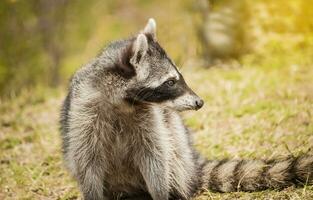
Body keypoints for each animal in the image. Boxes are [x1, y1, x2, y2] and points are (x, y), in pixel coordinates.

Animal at [60, 18, 312, 200]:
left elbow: (156, 157)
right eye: (170, 82)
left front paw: (161, 193)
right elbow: (87, 162)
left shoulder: (149, 118)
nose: (199, 102)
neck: (125, 102)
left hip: (179, 151)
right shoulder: (84, 114)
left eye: (178, 78)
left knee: (173, 151)